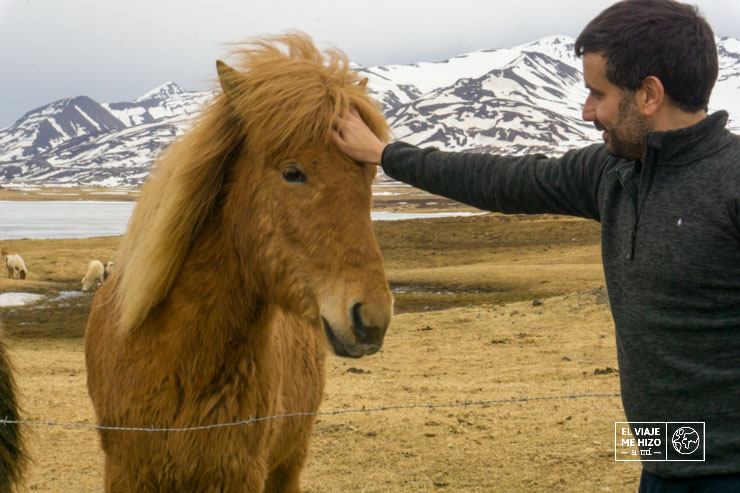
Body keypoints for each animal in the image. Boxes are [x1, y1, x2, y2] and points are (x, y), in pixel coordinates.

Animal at [85, 32, 393, 493]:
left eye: (370, 176)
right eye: (292, 172)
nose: (371, 319)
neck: (181, 360)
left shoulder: (240, 473)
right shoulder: (125, 473)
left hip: (288, 463)